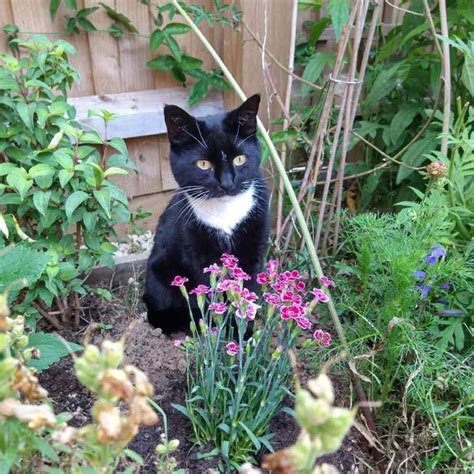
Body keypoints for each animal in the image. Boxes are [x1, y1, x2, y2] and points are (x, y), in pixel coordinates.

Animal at [144, 91, 268, 330]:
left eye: (239, 159)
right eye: (203, 164)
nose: (227, 183)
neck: (225, 213)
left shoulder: (254, 247)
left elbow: (247, 290)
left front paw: (243, 330)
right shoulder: (197, 253)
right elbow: (211, 291)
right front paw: (220, 329)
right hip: (159, 272)